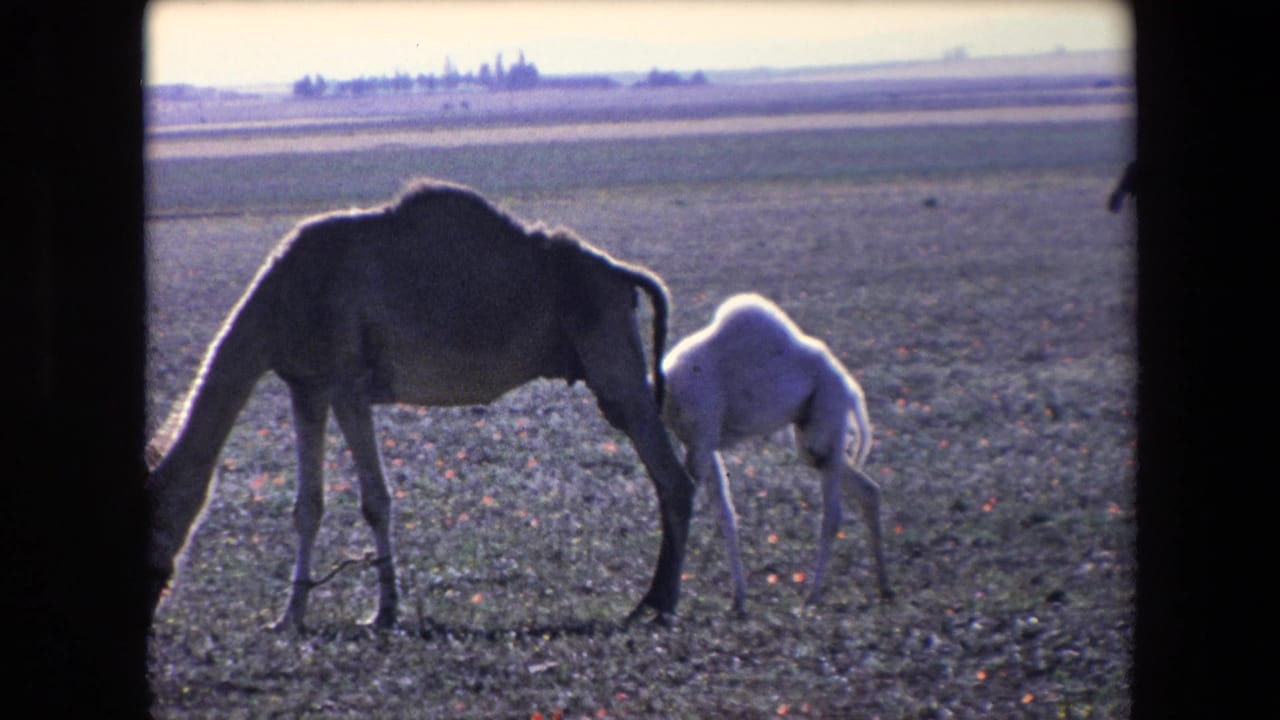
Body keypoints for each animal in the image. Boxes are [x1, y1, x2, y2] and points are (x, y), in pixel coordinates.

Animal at [145, 179, 695, 630]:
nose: (152, 602)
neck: (279, 300)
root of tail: (624, 275)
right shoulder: (306, 386)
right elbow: (308, 506)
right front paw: (290, 616)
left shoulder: (348, 383)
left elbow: (375, 500)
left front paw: (385, 612)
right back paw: (651, 601)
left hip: (610, 356)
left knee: (674, 477)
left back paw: (660, 604)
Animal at [662, 293, 891, 615]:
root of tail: (850, 388)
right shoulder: (699, 443)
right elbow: (725, 515)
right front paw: (738, 599)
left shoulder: (701, 440)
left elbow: (686, 508)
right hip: (811, 438)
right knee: (868, 490)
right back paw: (884, 587)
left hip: (828, 418)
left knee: (833, 514)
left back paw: (813, 596)